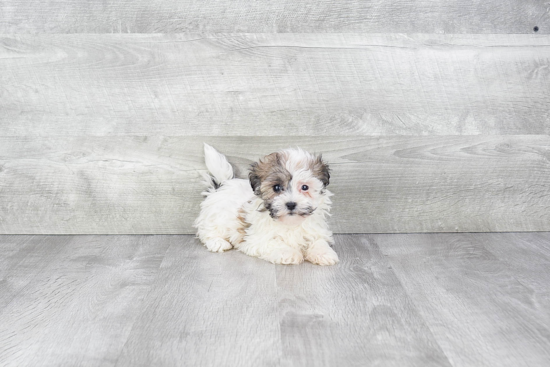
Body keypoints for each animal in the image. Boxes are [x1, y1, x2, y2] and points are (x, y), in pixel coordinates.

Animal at [194, 144, 340, 268]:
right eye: (276, 187)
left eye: (305, 187)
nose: (291, 204)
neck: (290, 223)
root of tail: (223, 185)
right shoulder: (257, 238)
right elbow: (274, 242)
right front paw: (288, 253)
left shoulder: (315, 230)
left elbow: (318, 240)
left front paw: (324, 253)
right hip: (215, 216)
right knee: (208, 231)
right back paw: (217, 242)